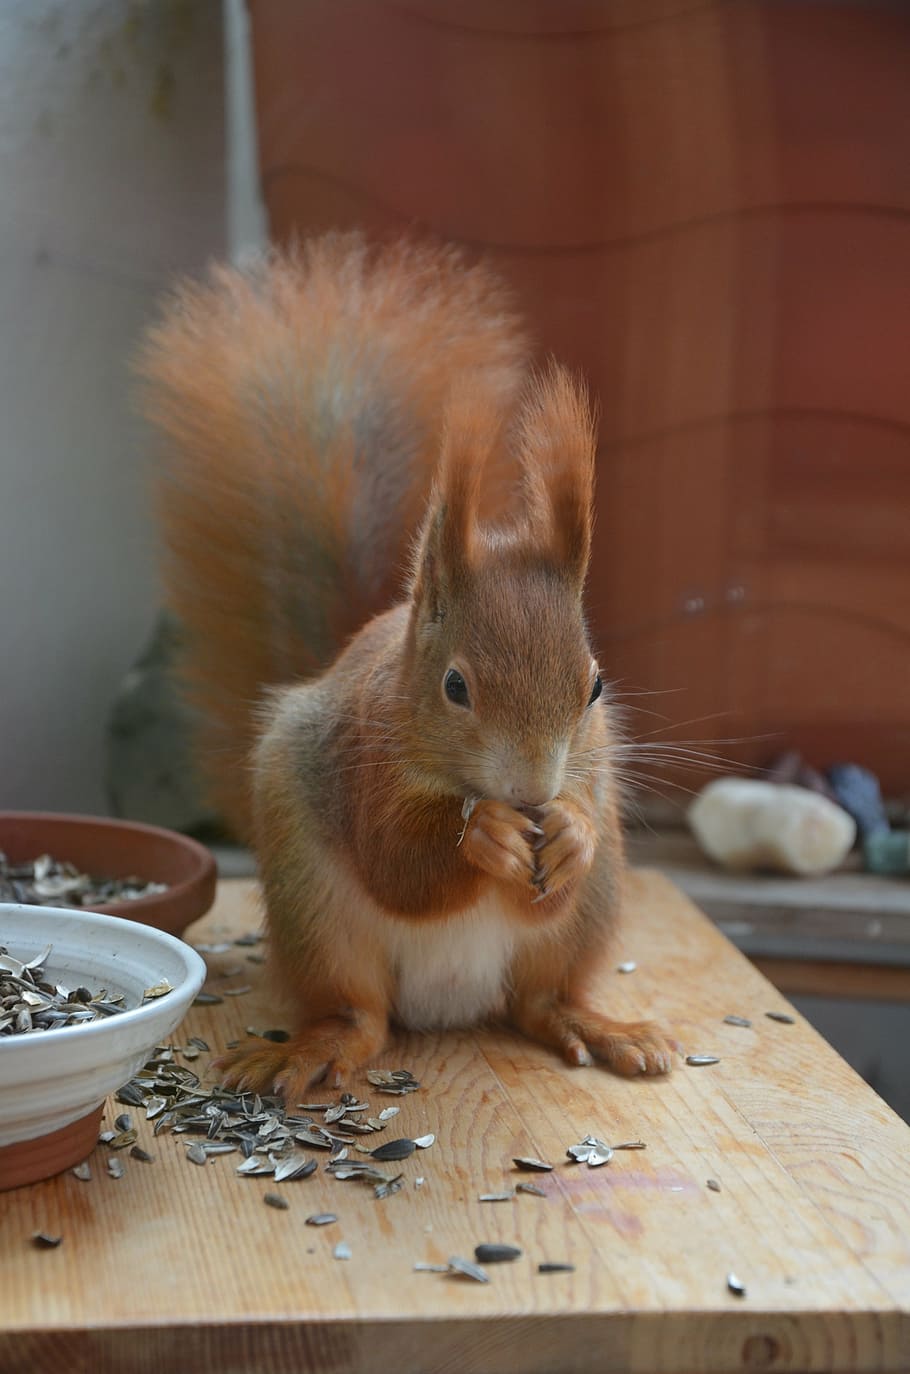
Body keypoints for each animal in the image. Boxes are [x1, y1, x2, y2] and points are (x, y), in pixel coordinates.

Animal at [137, 231, 676, 1100]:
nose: (533, 791)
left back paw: (599, 1025)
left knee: (540, 1000)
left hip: (588, 918)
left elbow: (552, 873)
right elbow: (397, 865)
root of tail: (453, 1004)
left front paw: (569, 831)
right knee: (362, 1016)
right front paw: (479, 835)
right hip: (317, 913)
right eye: (455, 686)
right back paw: (311, 1050)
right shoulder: (364, 753)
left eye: (595, 685)